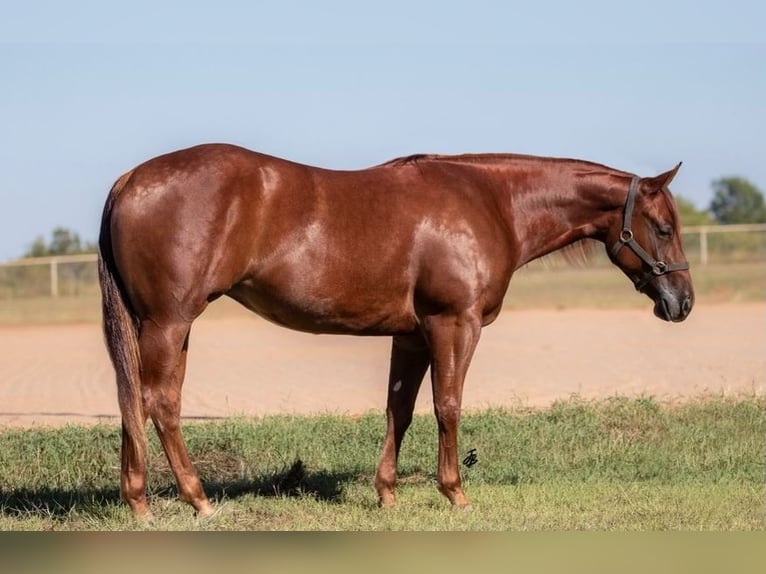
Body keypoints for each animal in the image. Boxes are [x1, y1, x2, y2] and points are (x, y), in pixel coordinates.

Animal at [98, 144, 693, 518]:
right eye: (663, 228)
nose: (682, 303)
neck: (491, 203)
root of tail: (130, 179)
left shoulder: (410, 334)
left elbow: (399, 409)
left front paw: (387, 493)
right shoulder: (454, 324)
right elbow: (448, 405)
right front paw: (455, 494)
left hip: (165, 326)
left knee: (139, 400)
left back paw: (139, 501)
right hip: (170, 322)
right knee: (160, 402)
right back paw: (196, 499)